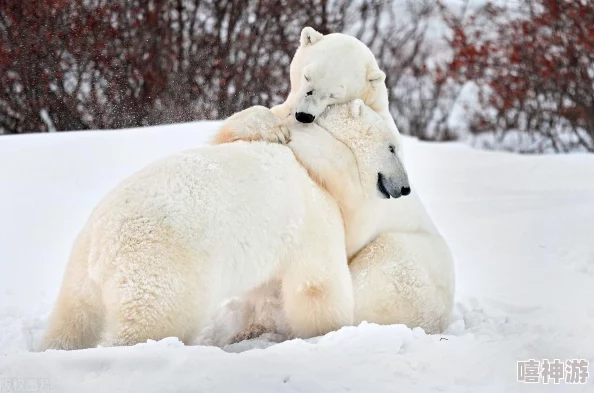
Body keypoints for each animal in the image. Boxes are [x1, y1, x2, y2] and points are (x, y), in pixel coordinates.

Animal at [39, 100, 404, 350]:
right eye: (393, 148)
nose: (405, 188)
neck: (316, 162)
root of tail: (103, 244)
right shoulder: (313, 213)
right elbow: (317, 283)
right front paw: (329, 331)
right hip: (161, 267)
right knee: (153, 320)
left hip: (79, 270)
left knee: (73, 317)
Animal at [208, 26, 454, 336]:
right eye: (307, 77)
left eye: (336, 93)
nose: (303, 114)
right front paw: (271, 126)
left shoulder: (369, 188)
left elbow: (349, 192)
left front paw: (293, 132)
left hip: (409, 264)